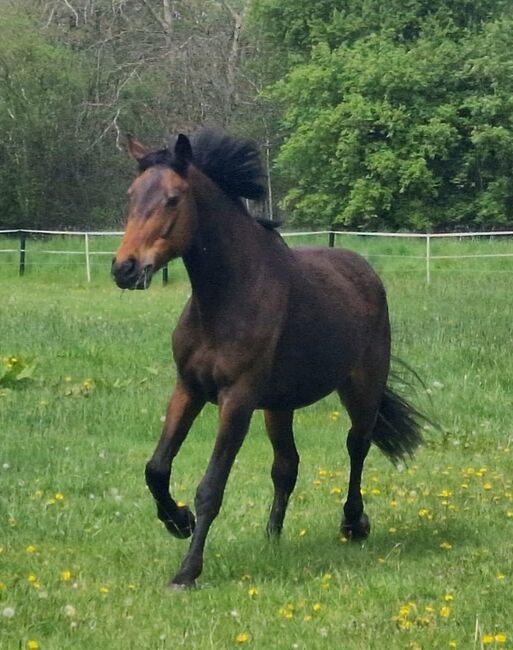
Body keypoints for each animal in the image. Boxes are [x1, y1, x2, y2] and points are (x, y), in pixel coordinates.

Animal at [112, 129, 424, 584]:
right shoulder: (188, 388)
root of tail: (364, 271)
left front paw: (187, 570)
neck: (226, 297)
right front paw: (178, 521)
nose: (125, 269)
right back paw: (272, 538)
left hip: (362, 388)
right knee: (286, 465)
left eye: (172, 199)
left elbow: (211, 487)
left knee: (356, 446)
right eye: (132, 195)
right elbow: (156, 468)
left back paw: (353, 524)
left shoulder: (237, 400)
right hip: (279, 406)